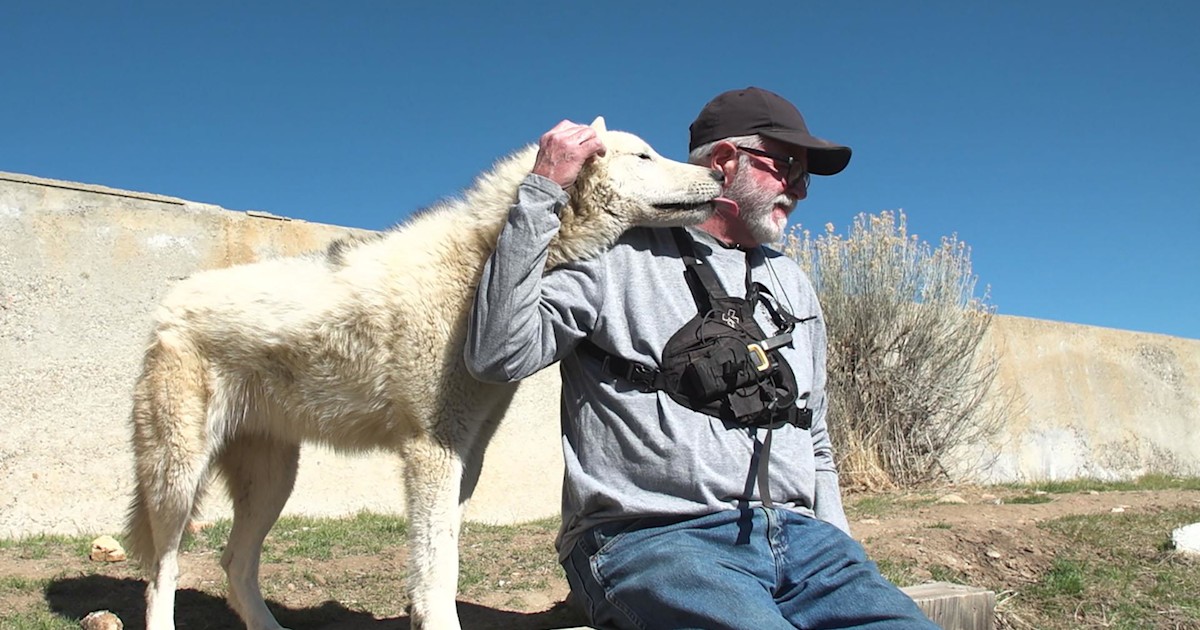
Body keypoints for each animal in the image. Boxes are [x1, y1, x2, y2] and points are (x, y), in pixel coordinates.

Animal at [124, 118, 723, 630]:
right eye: (644, 155)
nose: (719, 173)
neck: (483, 264)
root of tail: (164, 310)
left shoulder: (466, 455)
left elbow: (441, 557)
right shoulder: (432, 450)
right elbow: (438, 568)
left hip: (273, 480)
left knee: (233, 562)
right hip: (179, 480)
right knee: (162, 569)